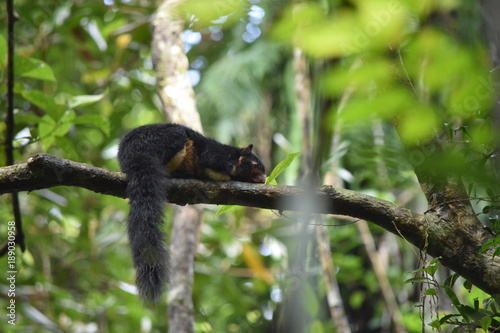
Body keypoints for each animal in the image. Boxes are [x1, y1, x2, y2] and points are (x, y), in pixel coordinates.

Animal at [118, 123, 266, 302]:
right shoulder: (215, 156)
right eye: (254, 164)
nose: (263, 179)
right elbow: (216, 168)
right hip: (170, 140)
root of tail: (131, 154)